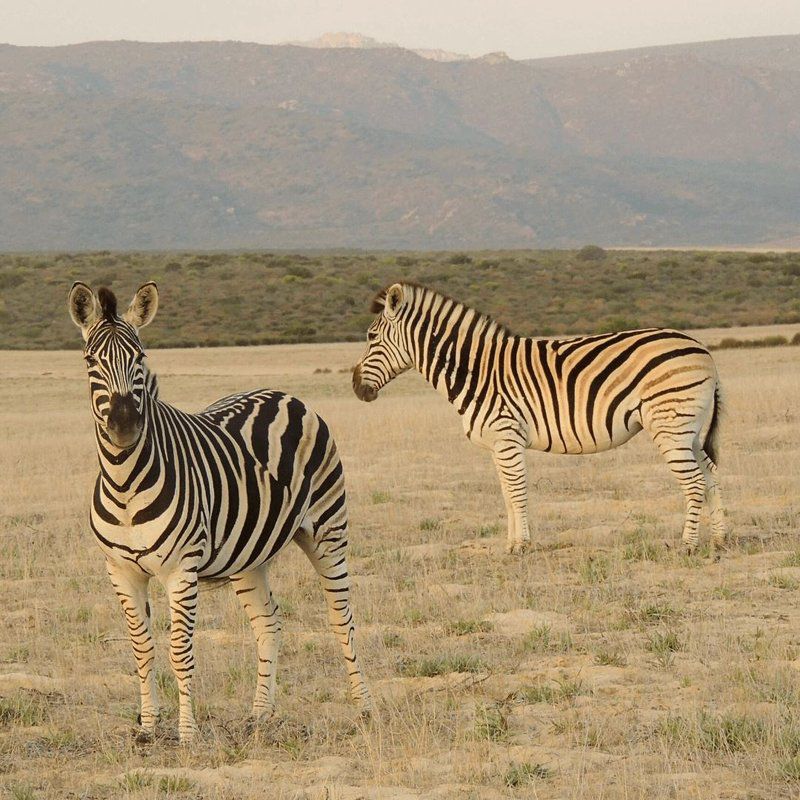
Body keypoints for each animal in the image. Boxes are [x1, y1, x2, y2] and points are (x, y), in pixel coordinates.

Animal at [66, 282, 372, 744]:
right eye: (90, 362)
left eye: (140, 358)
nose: (124, 426)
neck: (124, 485)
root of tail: (284, 394)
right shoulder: (120, 570)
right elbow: (141, 647)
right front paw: (148, 727)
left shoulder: (181, 568)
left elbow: (180, 651)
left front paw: (187, 734)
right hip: (249, 556)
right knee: (269, 622)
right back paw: (260, 714)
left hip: (328, 529)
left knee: (343, 618)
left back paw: (363, 708)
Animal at [354, 286, 728, 556]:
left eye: (371, 338)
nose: (357, 388)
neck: (475, 371)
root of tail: (703, 349)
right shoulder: (497, 444)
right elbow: (506, 494)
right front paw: (510, 543)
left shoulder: (506, 437)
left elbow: (517, 492)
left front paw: (521, 546)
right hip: (688, 430)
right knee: (710, 476)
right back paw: (719, 540)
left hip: (670, 426)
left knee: (695, 483)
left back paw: (687, 546)